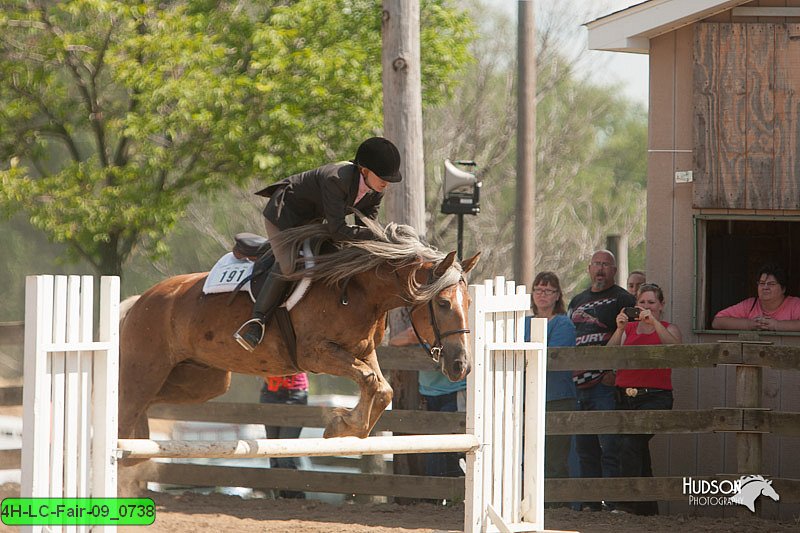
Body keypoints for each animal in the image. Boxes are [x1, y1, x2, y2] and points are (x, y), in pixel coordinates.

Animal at [118, 217, 478, 444]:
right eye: (443, 303)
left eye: (470, 302)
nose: (461, 366)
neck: (357, 288)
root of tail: (140, 301)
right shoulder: (315, 354)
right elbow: (371, 381)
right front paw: (342, 424)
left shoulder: (362, 351)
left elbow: (381, 388)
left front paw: (346, 426)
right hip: (144, 372)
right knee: (123, 413)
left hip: (203, 381)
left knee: (147, 407)